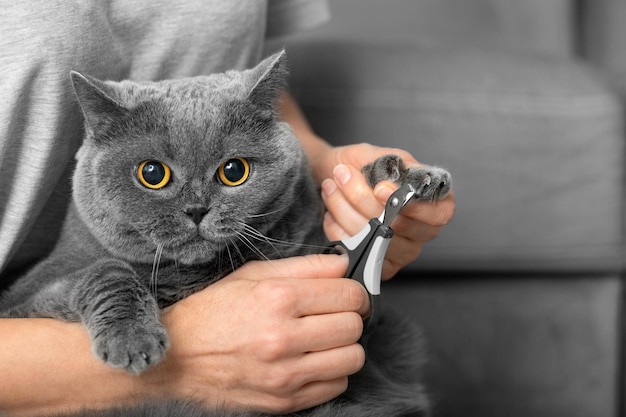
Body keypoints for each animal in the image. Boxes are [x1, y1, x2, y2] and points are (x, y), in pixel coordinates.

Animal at [0, 52, 448, 416]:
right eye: (152, 173)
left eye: (234, 171)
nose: (197, 209)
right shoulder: (26, 299)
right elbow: (105, 270)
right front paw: (133, 342)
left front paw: (409, 177)